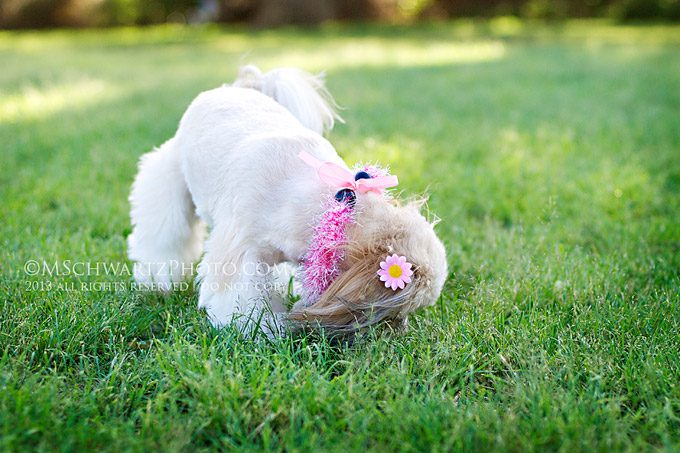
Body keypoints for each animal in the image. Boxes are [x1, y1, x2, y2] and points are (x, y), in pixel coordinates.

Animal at [127, 64, 446, 336]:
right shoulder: (240, 253)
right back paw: (158, 280)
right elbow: (243, 298)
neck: (329, 209)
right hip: (168, 178)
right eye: (396, 312)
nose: (398, 329)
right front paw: (265, 331)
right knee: (165, 235)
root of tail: (243, 85)